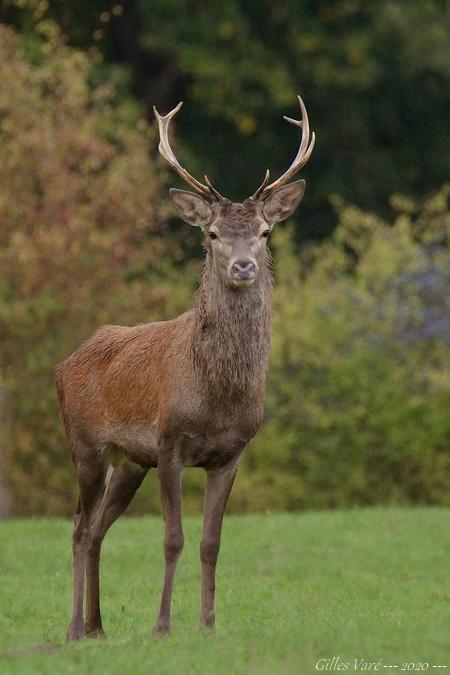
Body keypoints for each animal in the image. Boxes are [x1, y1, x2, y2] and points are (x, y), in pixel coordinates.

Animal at [55, 94, 315, 640]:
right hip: (85, 444)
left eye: (264, 231)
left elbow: (210, 542)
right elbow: (172, 538)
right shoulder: (169, 441)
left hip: (129, 462)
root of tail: (64, 365)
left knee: (98, 530)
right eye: (212, 232)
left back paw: (97, 626)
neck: (216, 397)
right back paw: (73, 629)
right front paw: (162, 626)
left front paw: (208, 624)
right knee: (79, 528)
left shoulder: (231, 453)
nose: (243, 266)